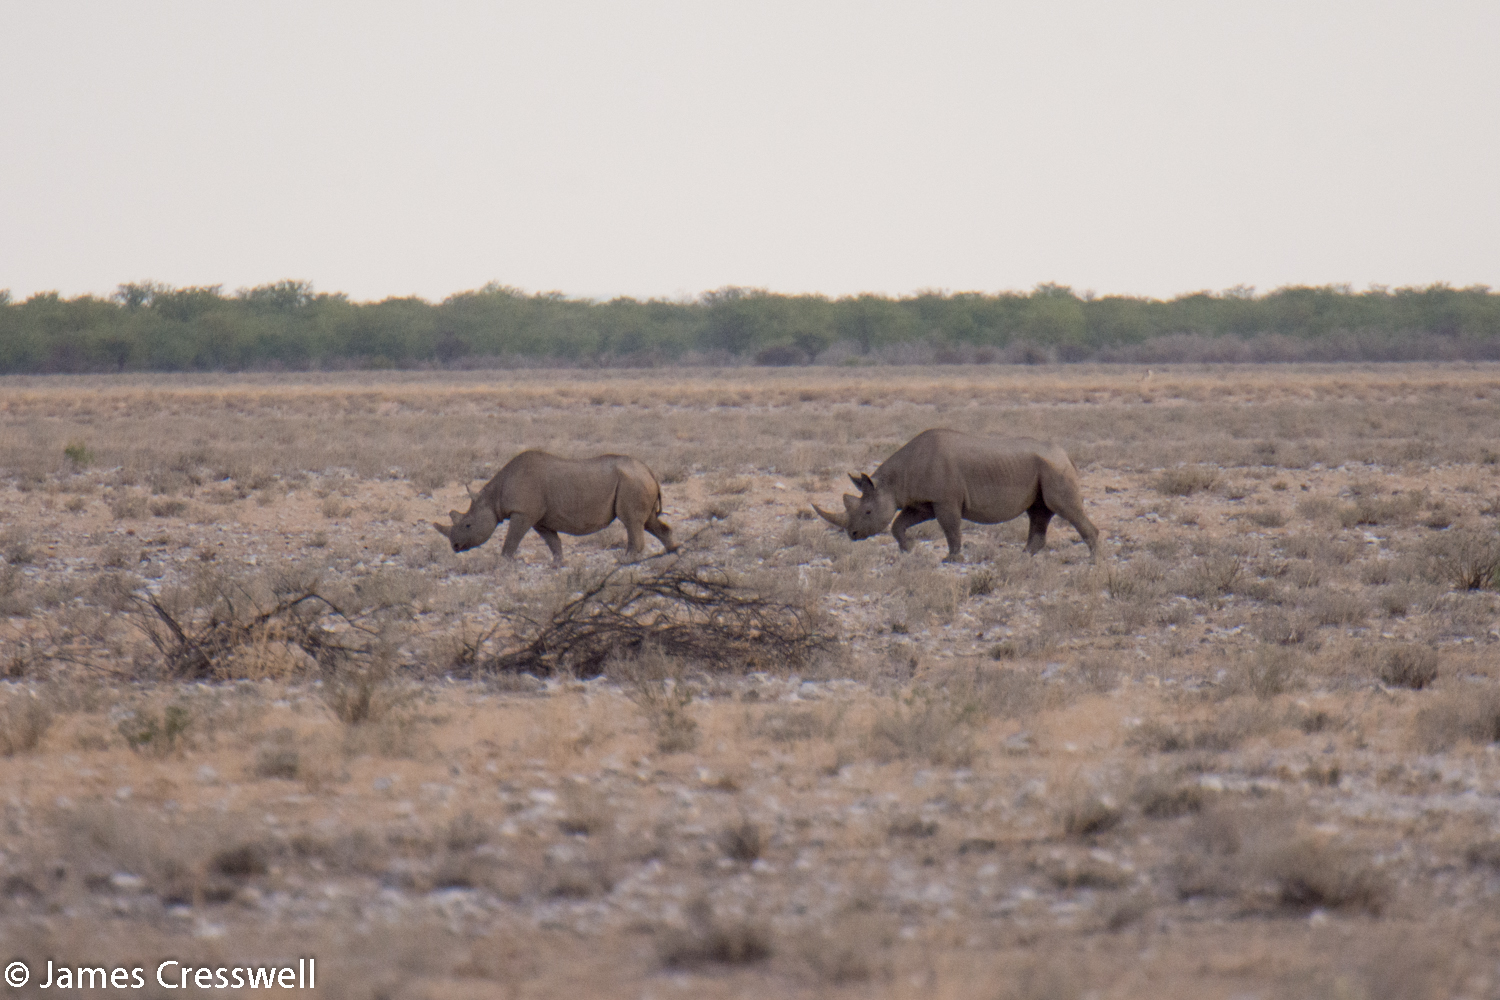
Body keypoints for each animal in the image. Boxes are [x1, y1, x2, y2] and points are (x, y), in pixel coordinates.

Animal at [434, 451, 677, 565]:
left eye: (467, 524)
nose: (455, 546)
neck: (493, 497)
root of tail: (649, 471)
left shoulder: (523, 513)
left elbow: (512, 540)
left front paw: (504, 562)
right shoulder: (539, 519)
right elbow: (553, 541)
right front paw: (557, 564)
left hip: (632, 482)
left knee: (631, 522)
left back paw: (624, 560)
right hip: (636, 480)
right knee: (648, 522)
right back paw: (672, 553)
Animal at [813, 429, 1099, 562]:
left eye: (868, 512)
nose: (852, 535)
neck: (892, 483)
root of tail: (1066, 455)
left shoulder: (945, 500)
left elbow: (951, 528)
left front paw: (951, 559)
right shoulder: (924, 502)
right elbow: (899, 524)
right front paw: (908, 549)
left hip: (1054, 469)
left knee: (1063, 509)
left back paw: (1092, 561)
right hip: (1046, 468)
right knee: (1038, 512)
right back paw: (1022, 556)